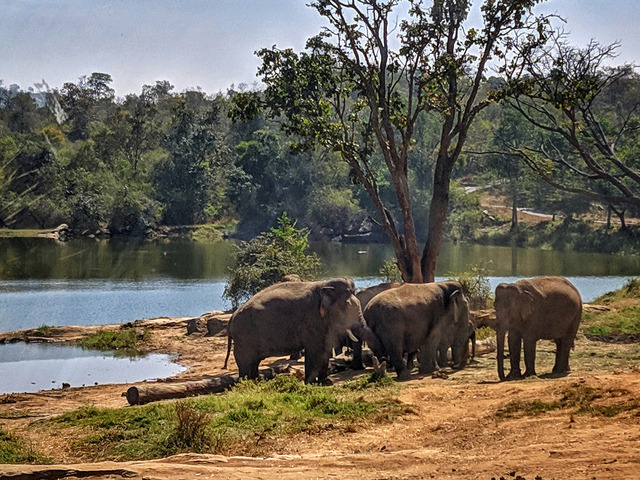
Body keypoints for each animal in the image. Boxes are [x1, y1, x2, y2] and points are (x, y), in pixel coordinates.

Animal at [224, 276, 364, 384]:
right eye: (347, 307)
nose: (357, 368)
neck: (324, 285)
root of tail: (232, 317)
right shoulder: (311, 319)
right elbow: (314, 349)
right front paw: (311, 383)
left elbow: (325, 348)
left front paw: (326, 382)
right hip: (244, 336)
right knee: (246, 361)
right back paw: (247, 385)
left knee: (254, 362)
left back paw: (255, 383)